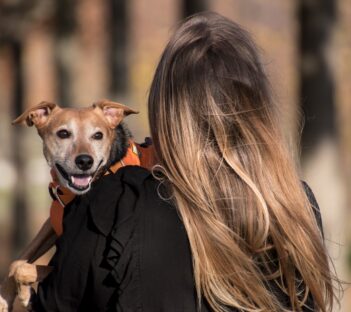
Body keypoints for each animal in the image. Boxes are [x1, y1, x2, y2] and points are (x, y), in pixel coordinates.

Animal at [0, 99, 154, 310]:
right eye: (63, 133)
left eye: (98, 135)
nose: (85, 161)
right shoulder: (52, 223)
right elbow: (18, 259)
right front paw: (4, 298)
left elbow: (24, 268)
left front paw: (25, 294)